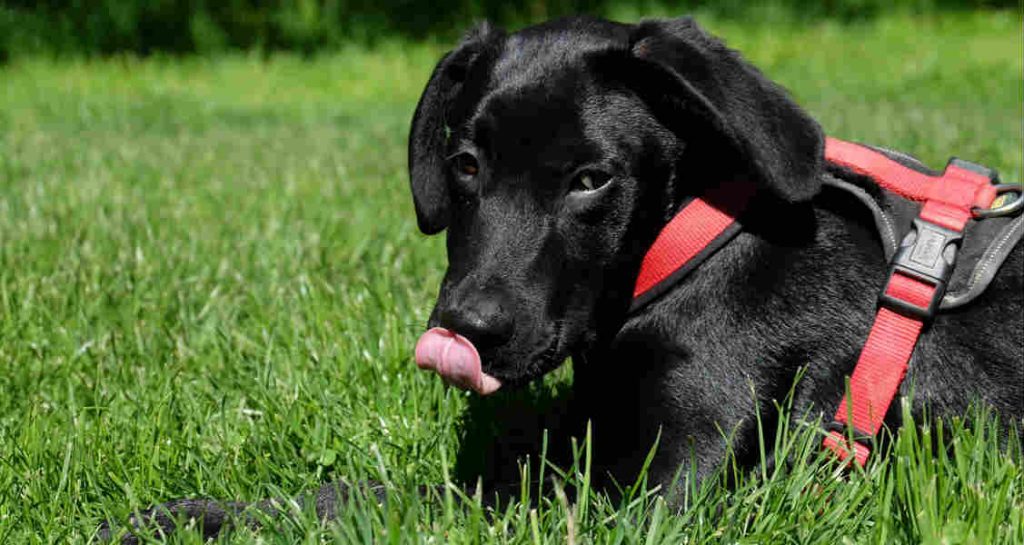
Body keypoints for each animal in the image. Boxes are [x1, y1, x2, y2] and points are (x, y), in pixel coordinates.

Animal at [101, 14, 1015, 540]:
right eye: (466, 164)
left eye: (591, 179)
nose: (466, 329)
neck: (685, 249)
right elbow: (359, 488)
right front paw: (189, 514)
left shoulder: (664, 497)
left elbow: (429, 501)